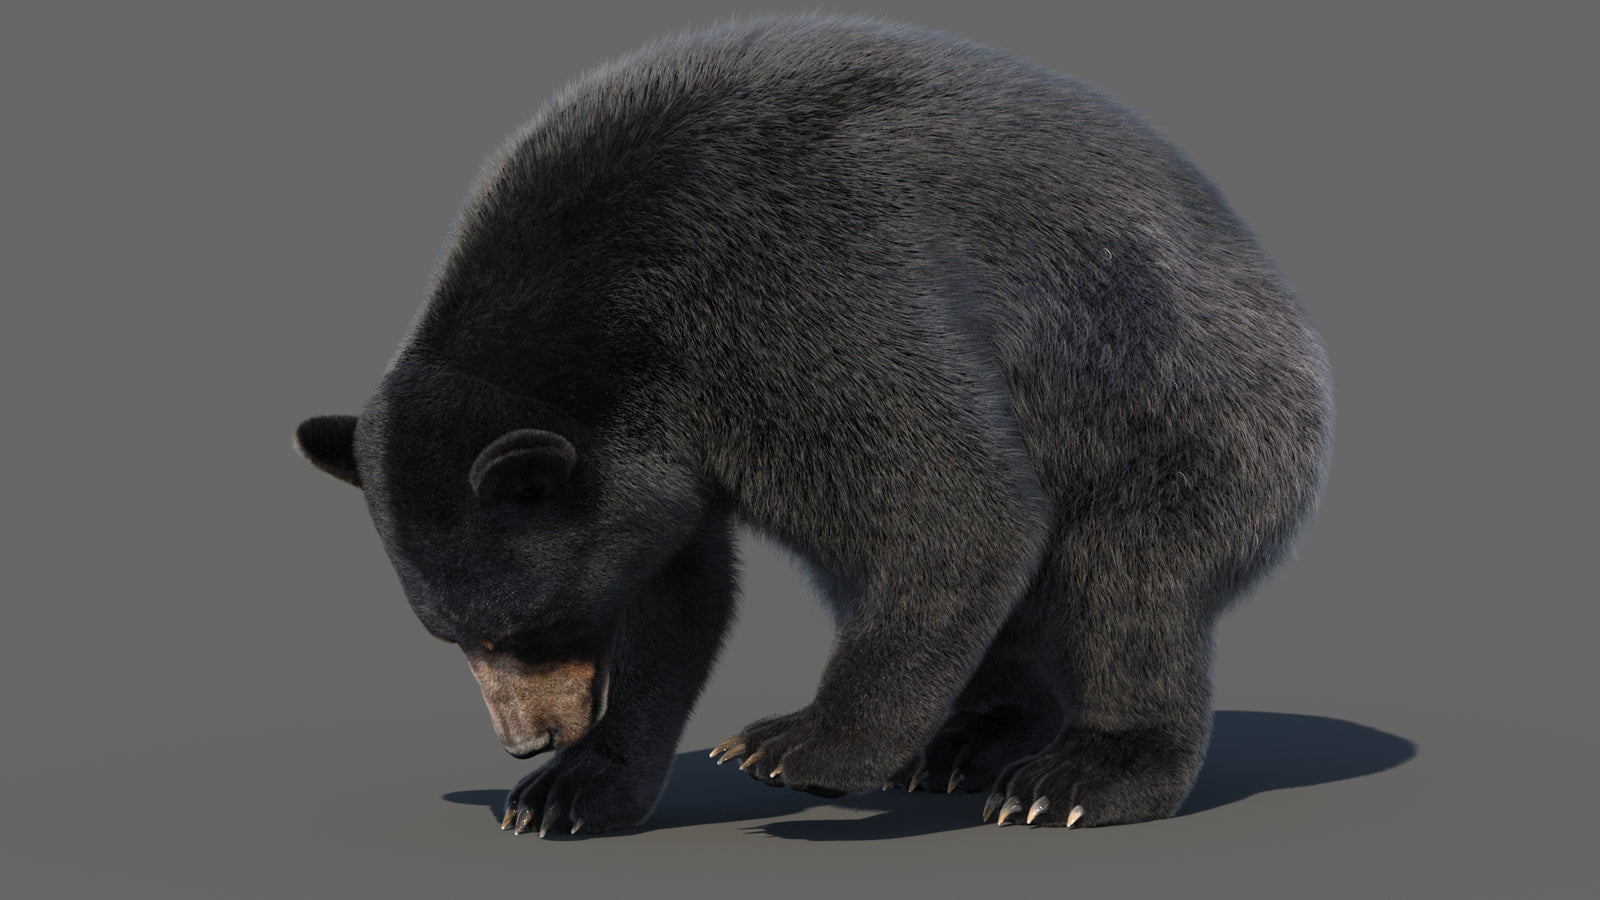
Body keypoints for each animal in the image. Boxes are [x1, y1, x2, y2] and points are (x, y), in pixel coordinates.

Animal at [294, 14, 1332, 837]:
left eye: (525, 626)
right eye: (453, 636)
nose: (526, 741)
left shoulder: (794, 297)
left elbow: (957, 505)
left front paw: (793, 744)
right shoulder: (657, 442)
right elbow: (680, 590)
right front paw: (571, 792)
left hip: (1175, 400)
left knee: (1131, 579)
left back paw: (1077, 777)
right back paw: (969, 740)